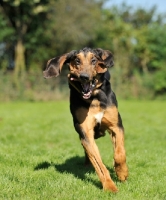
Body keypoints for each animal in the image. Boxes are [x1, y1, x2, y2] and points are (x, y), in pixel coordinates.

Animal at [43, 47, 128, 192]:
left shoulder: (116, 126)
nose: (84, 77)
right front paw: (109, 186)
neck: (94, 97)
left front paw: (122, 173)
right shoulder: (86, 133)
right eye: (77, 61)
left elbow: (120, 153)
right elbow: (99, 165)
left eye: (94, 60)